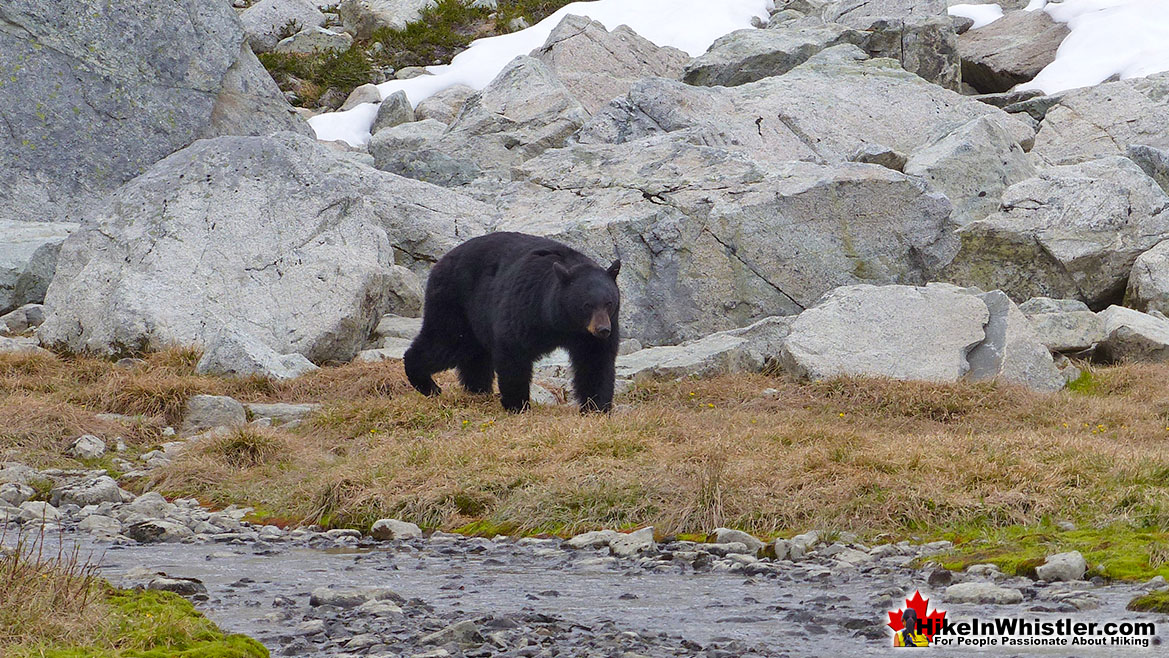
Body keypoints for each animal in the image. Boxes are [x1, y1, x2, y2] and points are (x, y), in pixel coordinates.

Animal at [402, 231, 621, 411]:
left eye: (609, 303)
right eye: (587, 305)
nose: (603, 329)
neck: (562, 322)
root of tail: (440, 262)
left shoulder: (589, 334)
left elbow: (595, 361)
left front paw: (596, 407)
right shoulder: (526, 307)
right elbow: (513, 349)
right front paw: (518, 405)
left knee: (474, 353)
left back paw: (478, 390)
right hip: (455, 301)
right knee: (446, 341)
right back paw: (427, 384)